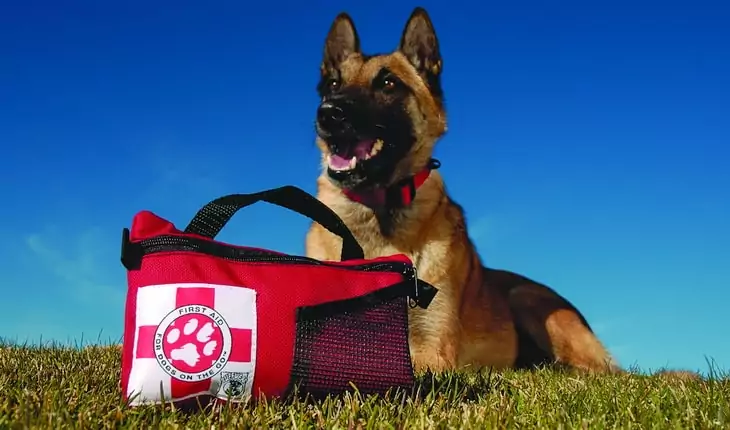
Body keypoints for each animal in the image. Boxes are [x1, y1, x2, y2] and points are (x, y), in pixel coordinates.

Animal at [302, 7, 620, 376]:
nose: (328, 114)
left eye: (388, 83)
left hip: (527, 300)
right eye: (333, 85)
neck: (377, 215)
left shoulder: (433, 350)